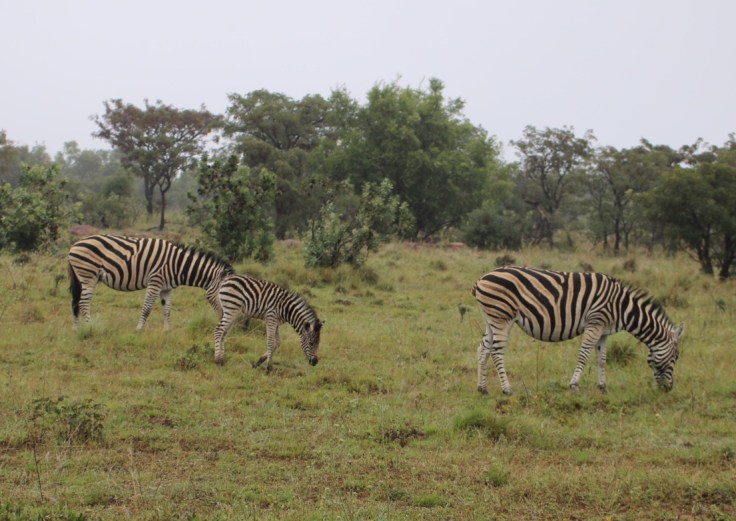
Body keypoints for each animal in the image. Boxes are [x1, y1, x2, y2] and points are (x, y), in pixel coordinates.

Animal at [68, 234, 234, 331]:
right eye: (224, 294)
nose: (224, 318)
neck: (178, 265)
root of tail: (75, 244)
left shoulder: (167, 288)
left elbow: (167, 309)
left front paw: (168, 331)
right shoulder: (155, 281)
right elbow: (147, 308)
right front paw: (139, 329)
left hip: (81, 277)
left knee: (75, 302)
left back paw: (77, 329)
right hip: (88, 276)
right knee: (83, 303)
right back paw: (90, 327)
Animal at [471, 266, 685, 395]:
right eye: (676, 357)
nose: (668, 389)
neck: (622, 307)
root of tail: (481, 279)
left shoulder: (604, 331)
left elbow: (602, 359)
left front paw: (602, 387)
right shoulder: (595, 323)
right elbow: (584, 355)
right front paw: (574, 385)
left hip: (491, 319)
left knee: (482, 349)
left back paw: (482, 388)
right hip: (502, 317)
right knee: (497, 351)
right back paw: (507, 389)